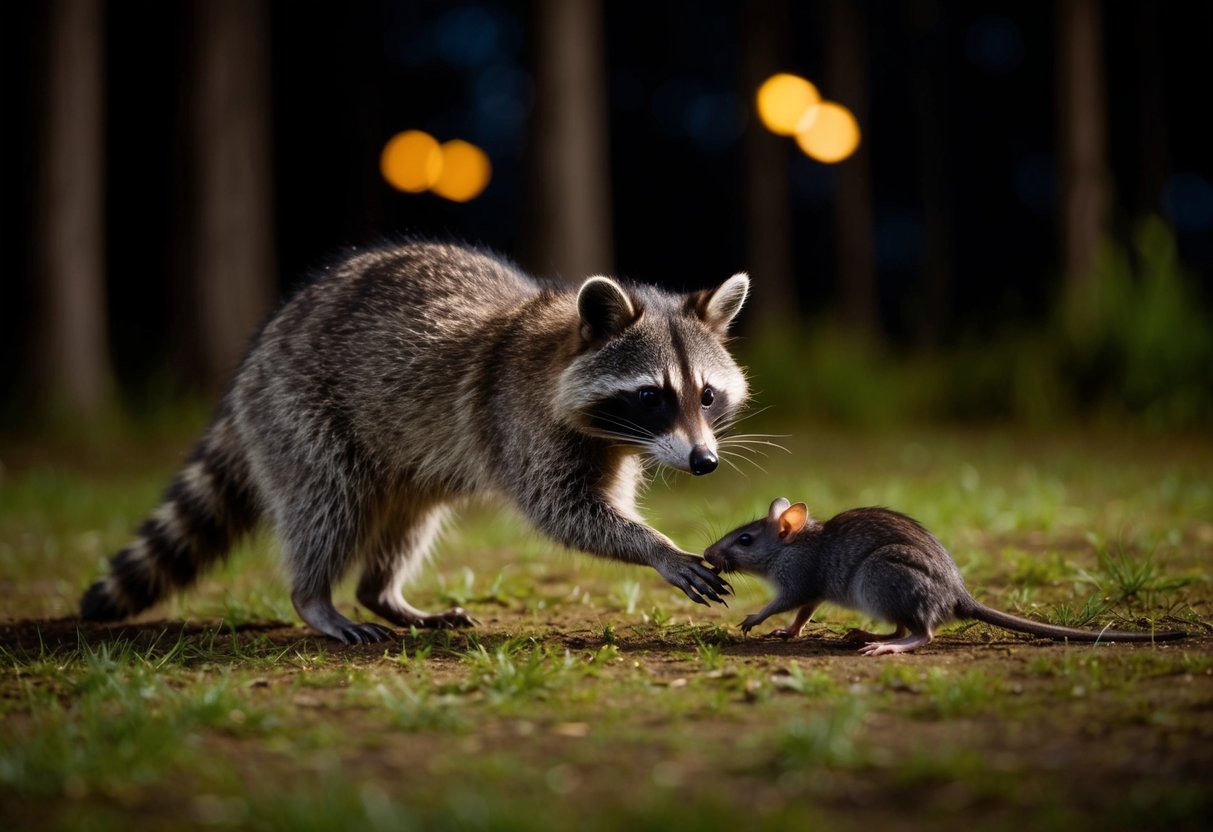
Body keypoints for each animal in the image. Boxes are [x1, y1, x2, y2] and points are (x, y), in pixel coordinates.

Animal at [81, 242, 750, 643]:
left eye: (706, 395)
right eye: (652, 395)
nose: (704, 462)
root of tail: (260, 350)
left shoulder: (613, 446)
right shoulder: (519, 421)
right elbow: (565, 512)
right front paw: (655, 546)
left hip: (405, 463)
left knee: (407, 523)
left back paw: (381, 593)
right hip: (299, 412)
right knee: (326, 504)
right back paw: (314, 596)